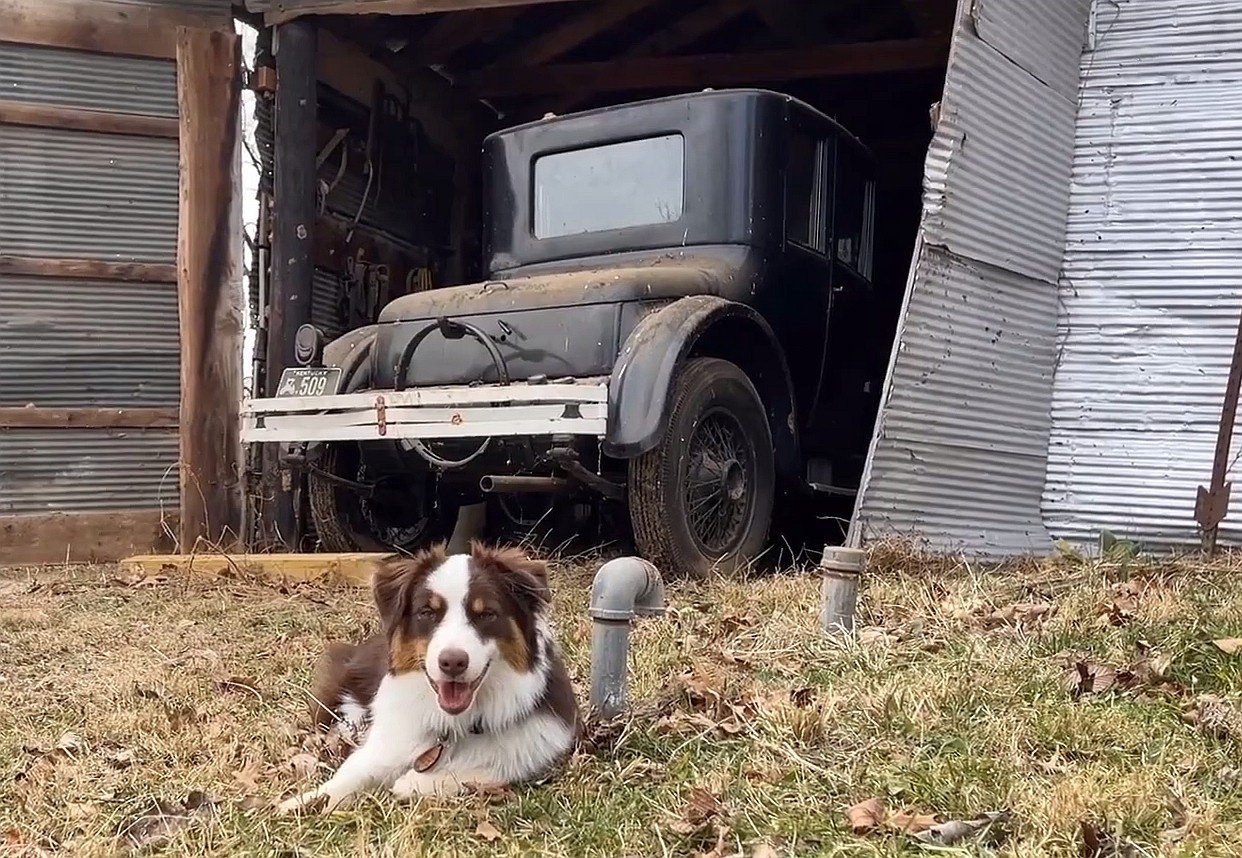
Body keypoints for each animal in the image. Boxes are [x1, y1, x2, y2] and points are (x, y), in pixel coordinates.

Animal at [279, 543, 578, 814]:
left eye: (486, 614)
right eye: (427, 612)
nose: (453, 662)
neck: (457, 724)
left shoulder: (532, 751)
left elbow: (485, 769)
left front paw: (413, 782)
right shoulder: (389, 740)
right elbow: (353, 772)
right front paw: (306, 801)